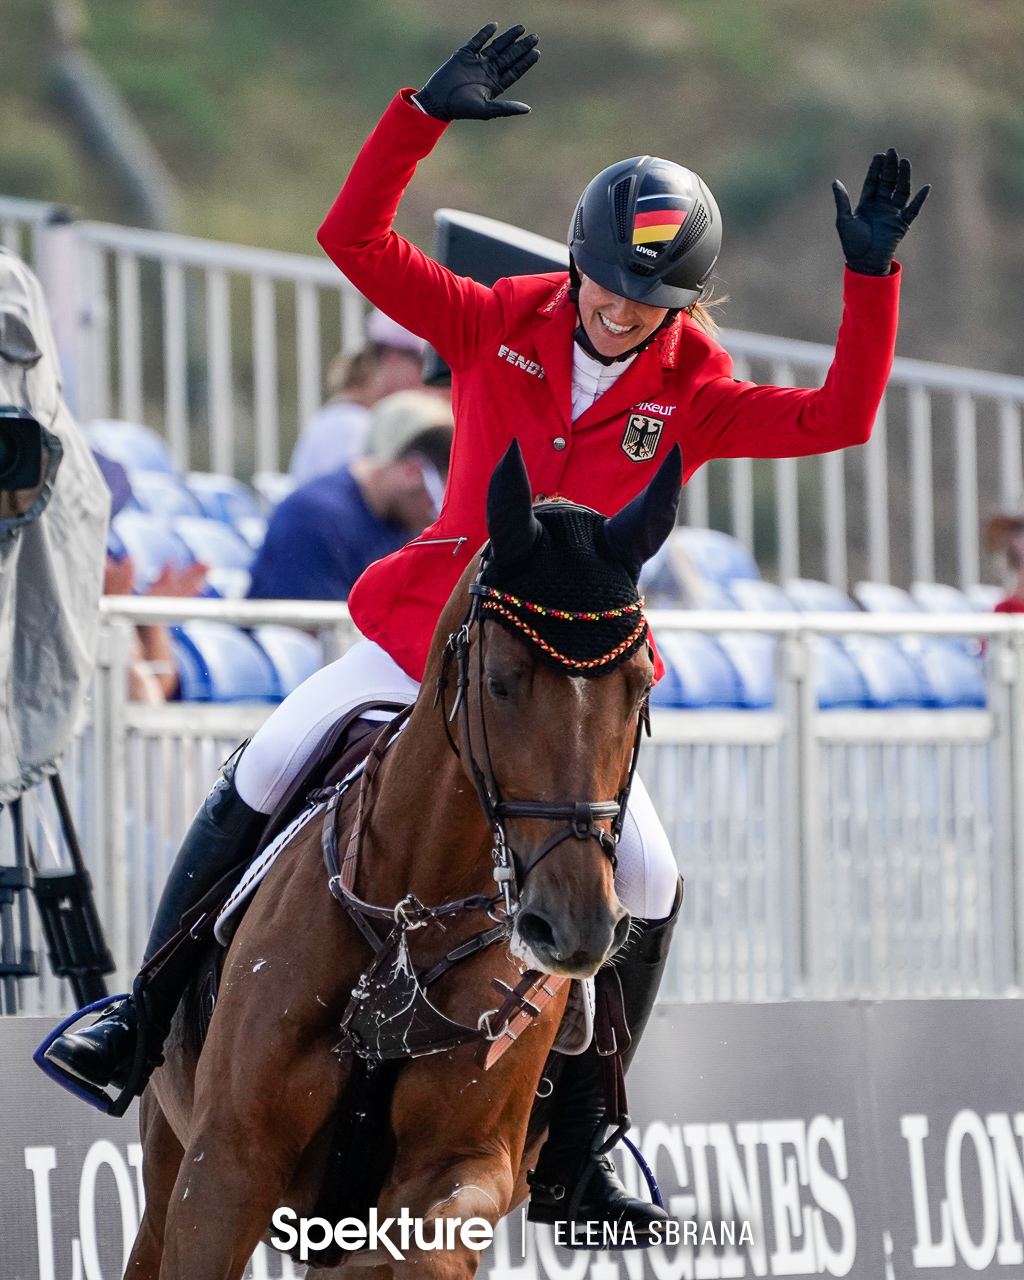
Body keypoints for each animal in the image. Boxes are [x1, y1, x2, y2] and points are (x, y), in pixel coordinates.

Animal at [128, 437, 686, 1269]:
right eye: (499, 683)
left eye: (640, 685)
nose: (575, 926)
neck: (412, 919)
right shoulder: (225, 1164)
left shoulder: (453, 1178)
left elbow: (433, 1233)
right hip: (169, 1154)